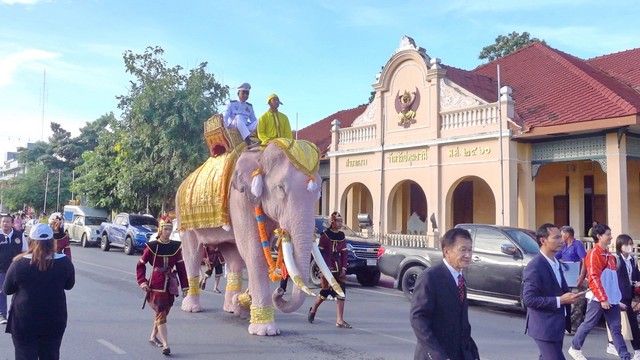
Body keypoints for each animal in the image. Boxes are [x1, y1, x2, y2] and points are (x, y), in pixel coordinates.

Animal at [175, 139, 336, 336]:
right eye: (281, 188)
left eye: (319, 192)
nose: (280, 291)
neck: (260, 154)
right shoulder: (239, 199)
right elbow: (254, 253)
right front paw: (265, 330)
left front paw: (243, 306)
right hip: (183, 217)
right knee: (192, 254)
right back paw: (192, 308)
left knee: (233, 257)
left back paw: (230, 307)